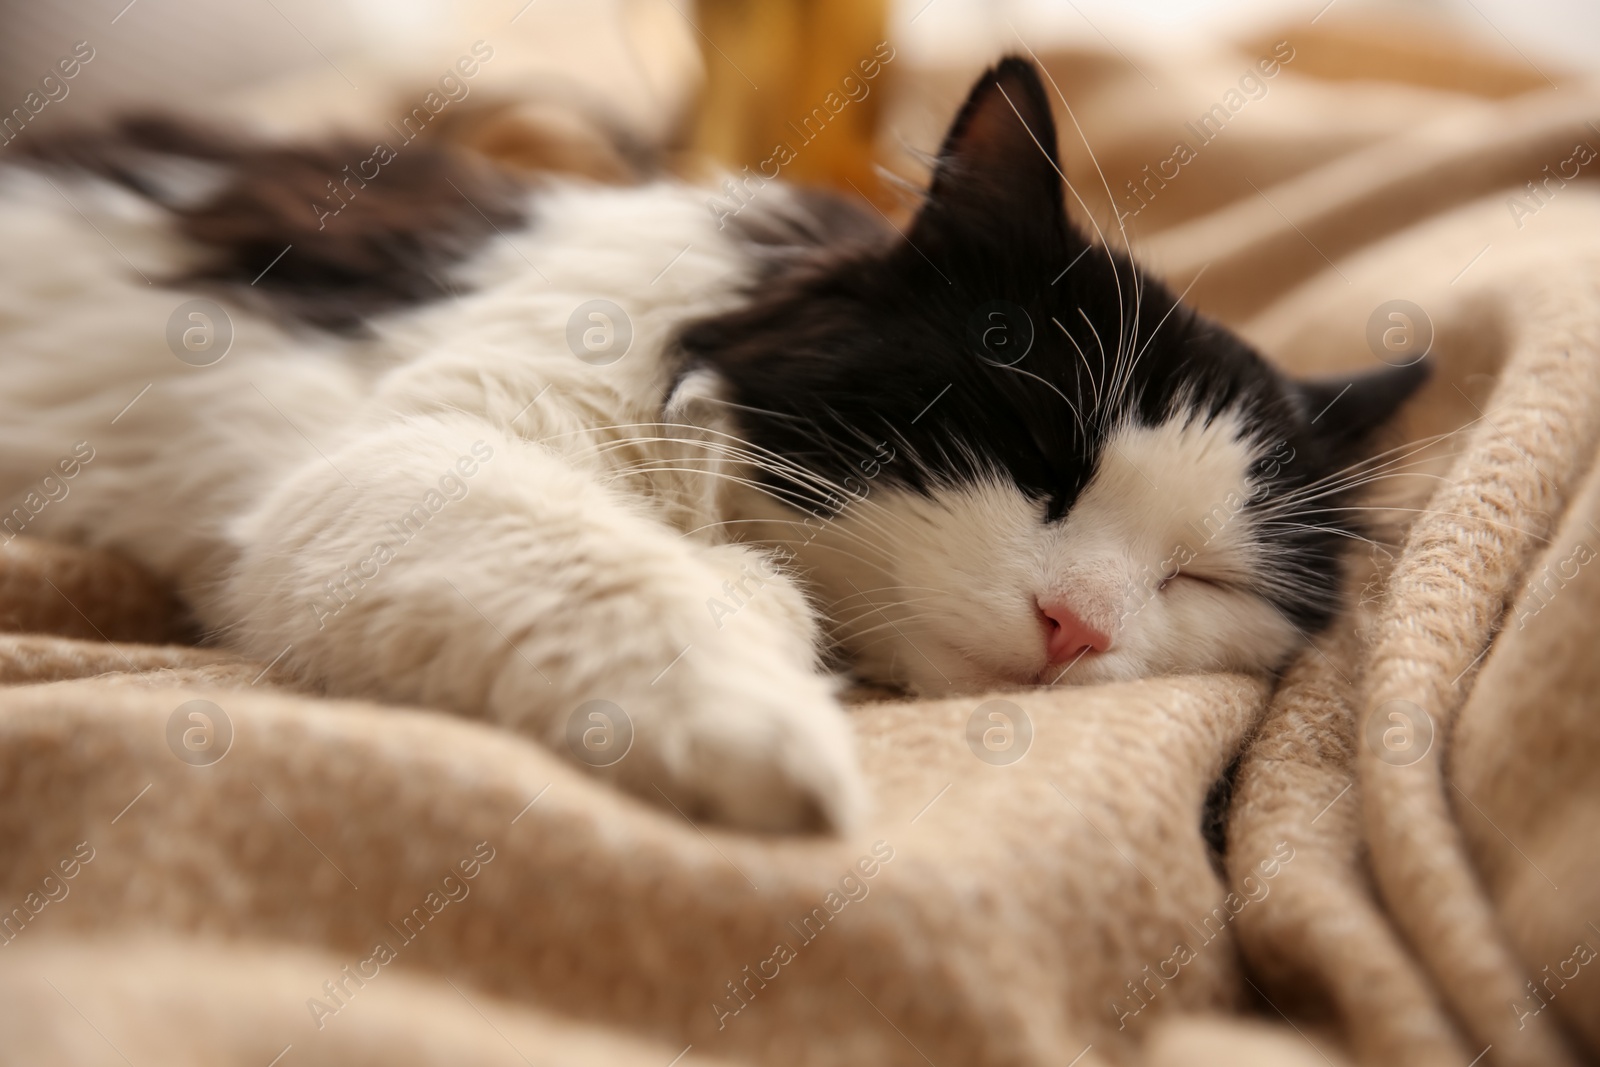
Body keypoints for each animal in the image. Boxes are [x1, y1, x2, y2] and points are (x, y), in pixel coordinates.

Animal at [0, 58, 1427, 831]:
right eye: (1038, 454)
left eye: (1202, 581)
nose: (1075, 627)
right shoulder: (403, 461)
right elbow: (632, 587)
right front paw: (774, 745)